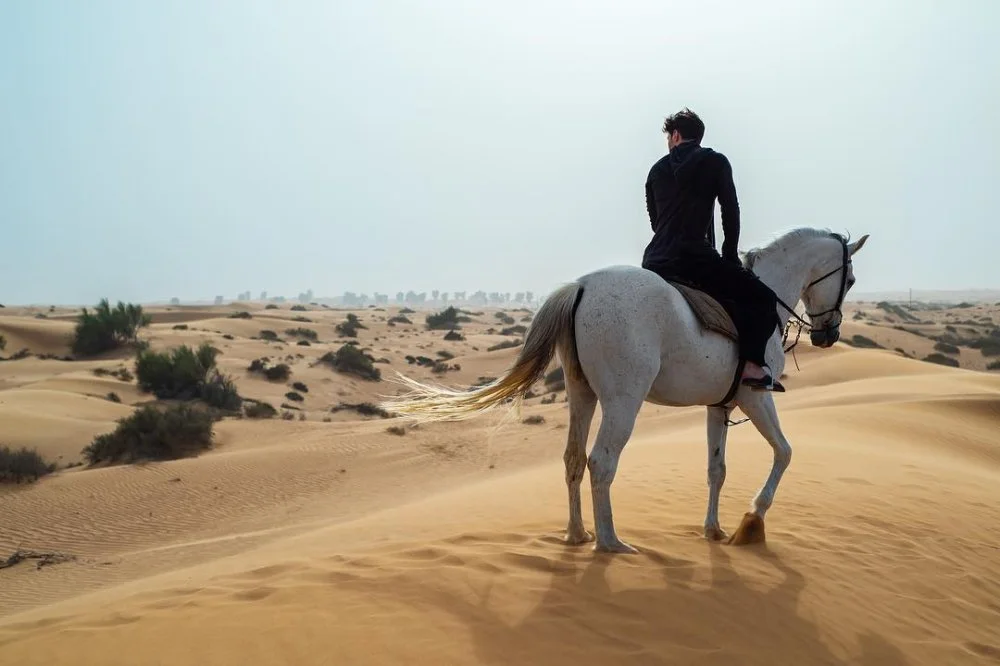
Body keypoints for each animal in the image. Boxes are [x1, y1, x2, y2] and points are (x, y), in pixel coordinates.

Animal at [380, 228, 868, 548]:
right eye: (850, 280)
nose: (828, 335)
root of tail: (581, 286)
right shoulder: (755, 395)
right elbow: (784, 452)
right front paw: (752, 523)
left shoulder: (720, 405)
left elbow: (717, 469)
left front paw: (712, 530)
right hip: (623, 401)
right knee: (601, 461)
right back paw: (610, 542)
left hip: (582, 394)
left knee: (574, 458)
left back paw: (578, 534)